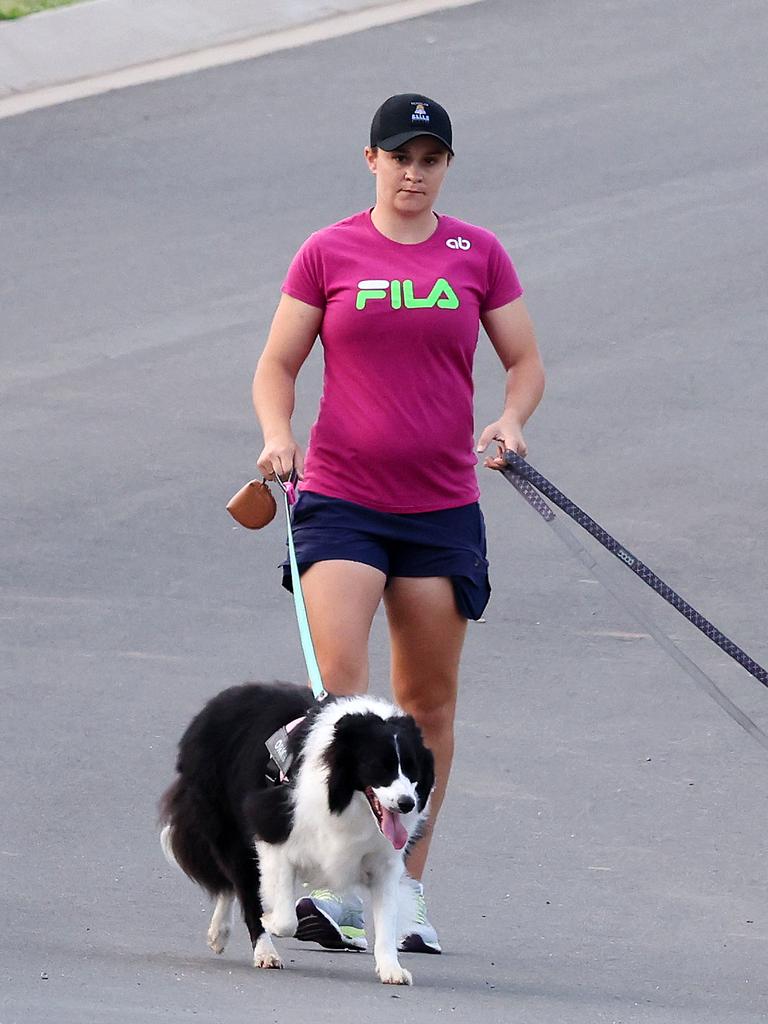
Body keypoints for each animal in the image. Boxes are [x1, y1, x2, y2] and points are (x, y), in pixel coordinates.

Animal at [159, 684, 436, 987]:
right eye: (379, 767)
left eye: (412, 769)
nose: (407, 803)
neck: (345, 799)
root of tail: (213, 706)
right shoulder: (271, 828)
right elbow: (284, 919)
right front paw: (268, 921)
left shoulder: (383, 862)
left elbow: (386, 920)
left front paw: (391, 970)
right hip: (229, 828)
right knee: (239, 883)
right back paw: (262, 951)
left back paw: (220, 934)